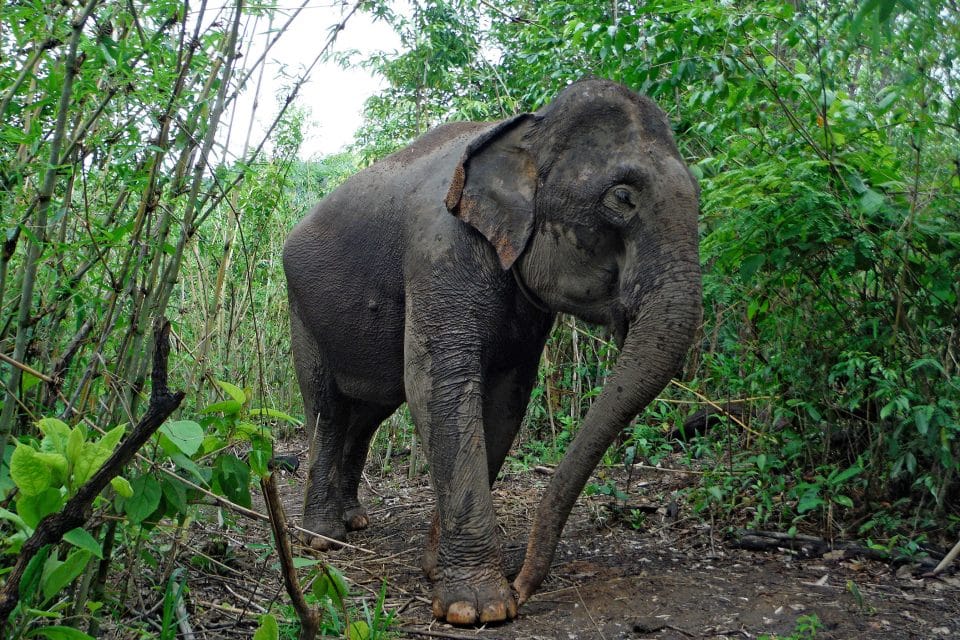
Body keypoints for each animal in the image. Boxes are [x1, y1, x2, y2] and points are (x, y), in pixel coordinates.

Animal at [282, 78, 702, 625]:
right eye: (623, 197)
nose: (523, 584)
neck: (530, 127)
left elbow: (504, 399)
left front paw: (438, 570)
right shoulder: (439, 251)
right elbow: (437, 385)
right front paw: (478, 607)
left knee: (371, 412)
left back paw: (355, 521)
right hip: (302, 312)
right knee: (327, 408)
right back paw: (322, 539)